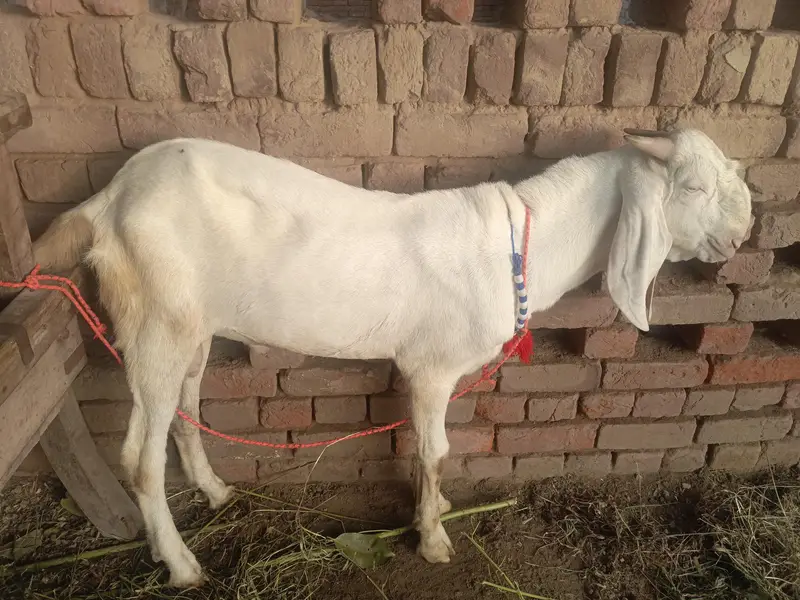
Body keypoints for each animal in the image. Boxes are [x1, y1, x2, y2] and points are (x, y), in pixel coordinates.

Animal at [32, 128, 752, 587]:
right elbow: (434, 453)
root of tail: (109, 200)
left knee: (185, 410)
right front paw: (433, 538)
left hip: (191, 325)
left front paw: (435, 515)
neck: (519, 245)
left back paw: (214, 492)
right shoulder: (431, 366)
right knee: (138, 456)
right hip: (154, 320)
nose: (744, 232)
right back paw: (181, 565)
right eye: (692, 187)